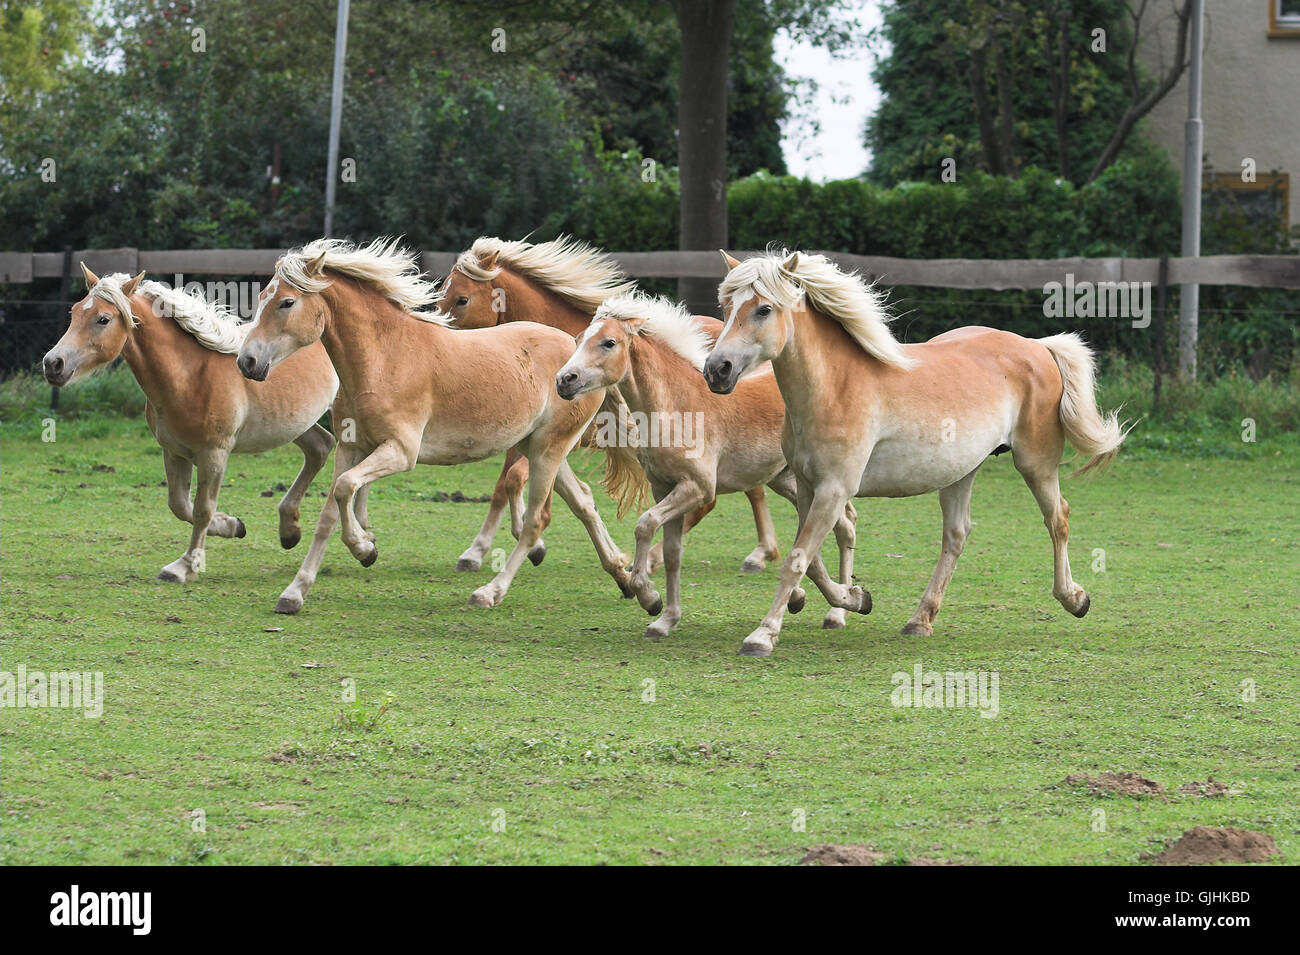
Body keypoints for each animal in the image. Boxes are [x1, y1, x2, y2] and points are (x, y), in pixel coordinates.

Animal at [44, 267, 340, 582]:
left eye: (103, 319)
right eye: (74, 312)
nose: (53, 363)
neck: (190, 376)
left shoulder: (214, 454)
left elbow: (201, 510)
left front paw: (185, 566)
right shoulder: (174, 452)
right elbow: (180, 505)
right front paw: (232, 525)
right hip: (298, 423)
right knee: (320, 448)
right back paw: (291, 530)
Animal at [434, 235, 780, 579]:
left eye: (462, 299)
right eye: (441, 294)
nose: (443, 340)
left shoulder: (565, 438)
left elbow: (516, 479)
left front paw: (526, 542)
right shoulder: (532, 435)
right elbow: (505, 484)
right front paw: (481, 552)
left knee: (727, 497)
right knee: (752, 489)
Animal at [553, 289, 857, 634]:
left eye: (608, 342)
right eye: (577, 340)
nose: (564, 380)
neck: (678, 407)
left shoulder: (697, 488)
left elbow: (645, 524)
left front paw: (646, 594)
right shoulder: (664, 487)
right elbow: (672, 552)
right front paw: (665, 618)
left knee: (844, 527)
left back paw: (838, 611)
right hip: (787, 481)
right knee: (836, 525)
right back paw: (803, 597)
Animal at [702, 248, 1128, 657]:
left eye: (763, 309)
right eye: (725, 305)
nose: (716, 370)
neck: (835, 387)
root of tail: (1035, 346)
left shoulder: (834, 490)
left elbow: (797, 560)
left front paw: (762, 637)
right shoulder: (808, 488)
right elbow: (812, 563)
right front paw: (855, 598)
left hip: (1035, 463)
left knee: (1058, 518)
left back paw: (1074, 599)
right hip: (962, 471)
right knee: (956, 535)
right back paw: (920, 619)